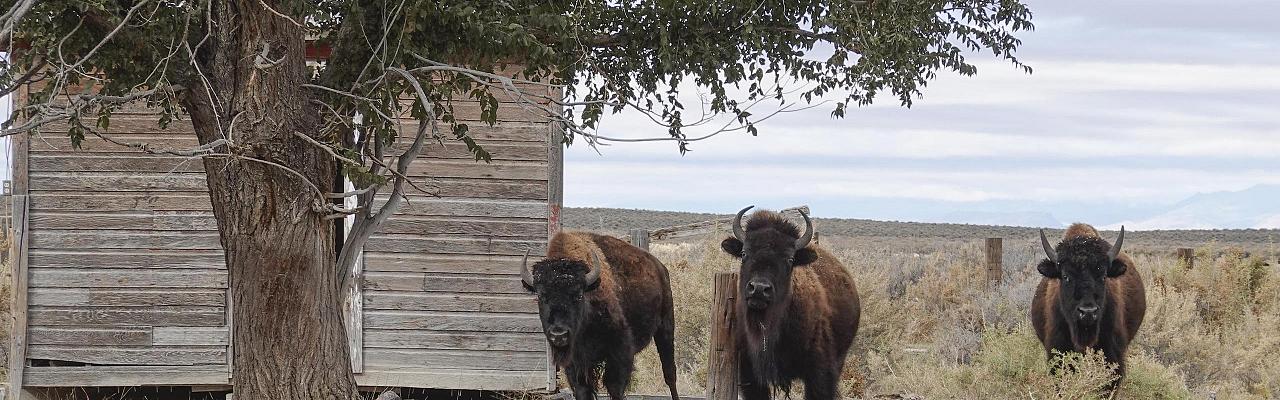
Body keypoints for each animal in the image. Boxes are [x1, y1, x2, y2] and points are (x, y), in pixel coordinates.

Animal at [517, 230, 686, 400]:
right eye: (541, 296)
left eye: (578, 295)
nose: (559, 335)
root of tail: (660, 267)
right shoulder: (576, 362)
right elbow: (582, 389)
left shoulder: (620, 352)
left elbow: (614, 387)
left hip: (665, 327)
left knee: (670, 373)